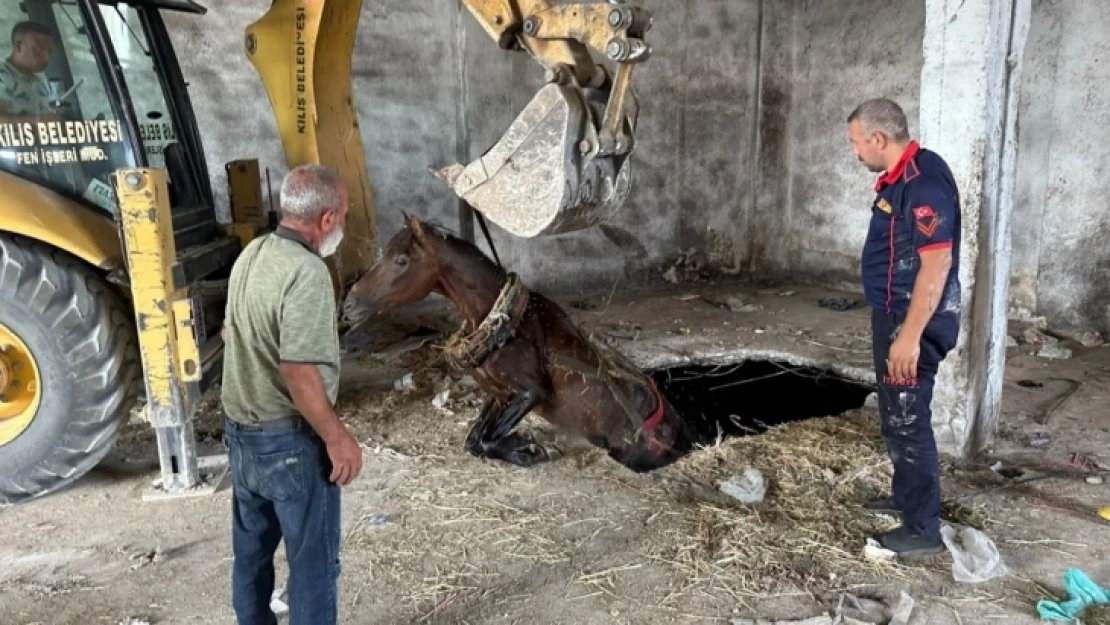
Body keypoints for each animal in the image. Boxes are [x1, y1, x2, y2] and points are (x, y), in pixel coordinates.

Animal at [341, 216, 697, 475]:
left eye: (401, 260)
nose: (349, 304)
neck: (506, 324)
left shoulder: (530, 392)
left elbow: (487, 440)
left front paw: (530, 450)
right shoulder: (499, 393)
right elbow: (475, 440)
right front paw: (523, 445)